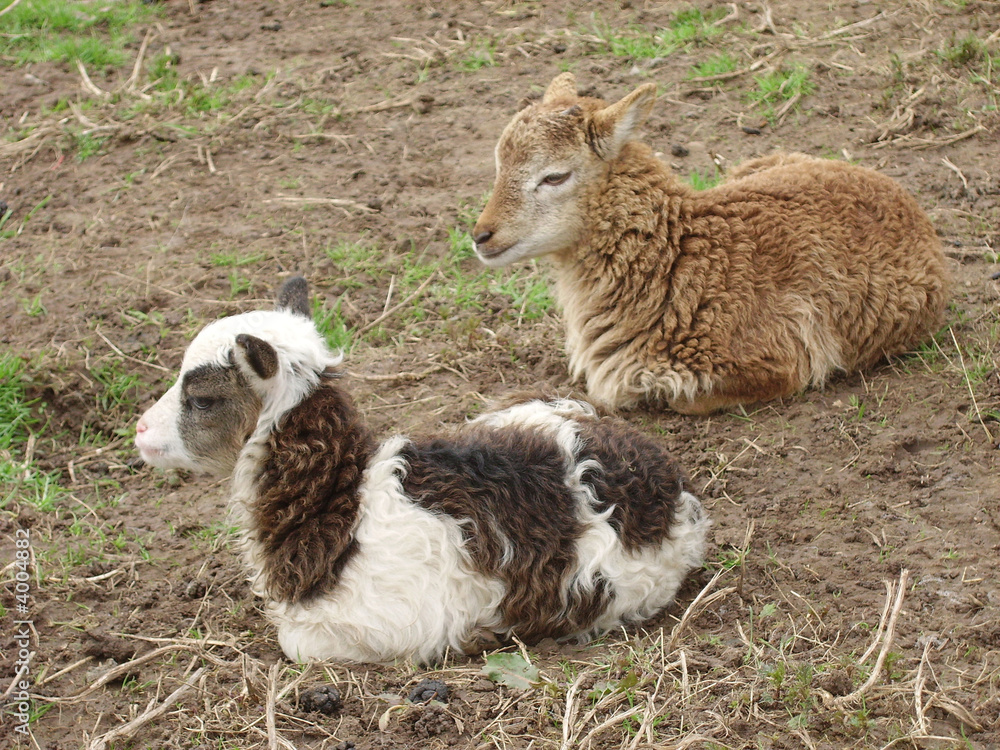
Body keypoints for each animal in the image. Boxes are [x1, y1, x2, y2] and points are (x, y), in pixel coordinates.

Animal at [137, 280, 708, 664]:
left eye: (203, 399)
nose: (140, 430)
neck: (342, 505)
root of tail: (666, 486)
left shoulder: (375, 630)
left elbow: (293, 642)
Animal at [472, 72, 948, 414]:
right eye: (497, 164)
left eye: (555, 176)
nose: (481, 236)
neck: (681, 258)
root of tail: (901, 196)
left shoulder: (776, 363)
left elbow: (678, 402)